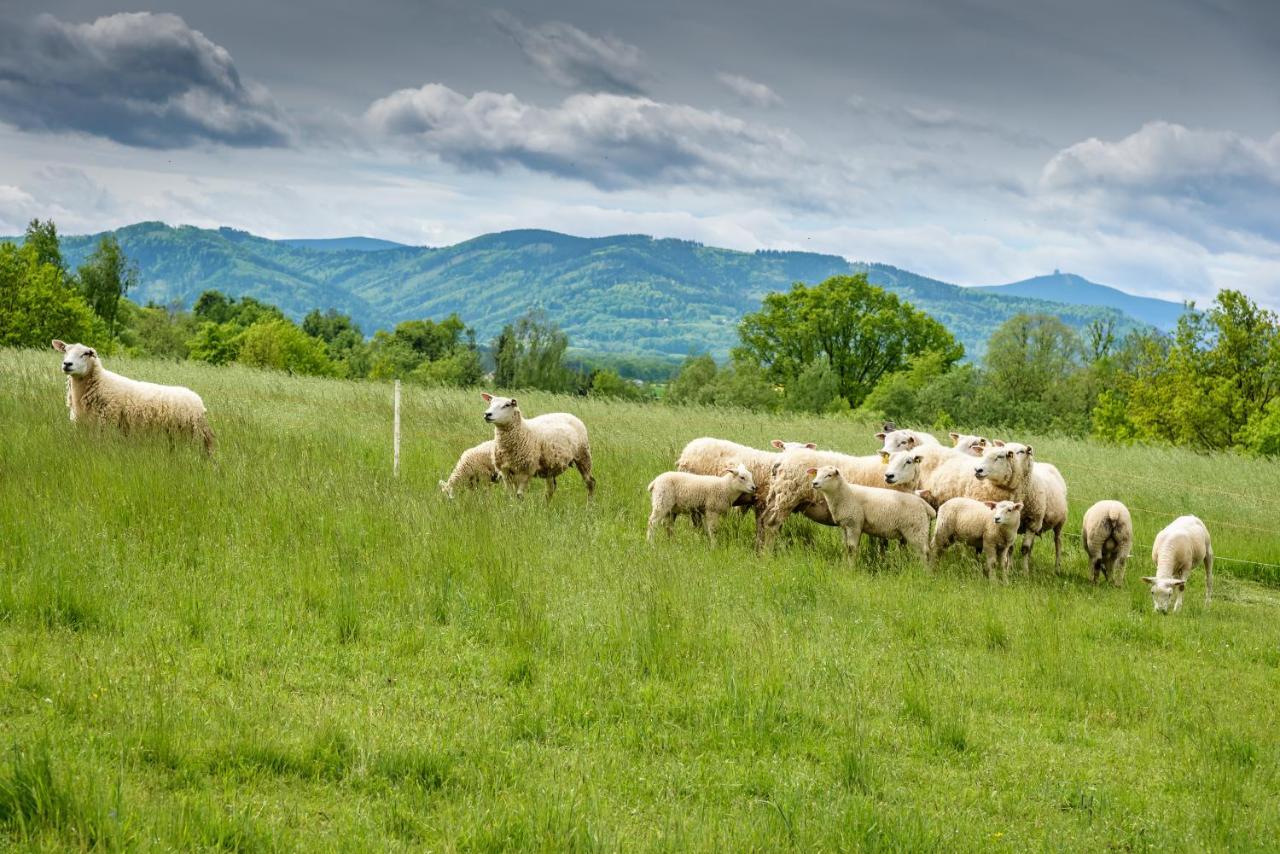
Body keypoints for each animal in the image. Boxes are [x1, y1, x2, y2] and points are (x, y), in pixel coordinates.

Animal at [51, 338, 213, 458]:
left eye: (86, 353)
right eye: (65, 351)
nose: (67, 364)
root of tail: (198, 401)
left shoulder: (107, 425)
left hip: (190, 436)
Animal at [808, 468, 942, 560]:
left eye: (829, 475)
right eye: (817, 473)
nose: (814, 483)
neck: (845, 494)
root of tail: (924, 504)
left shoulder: (854, 524)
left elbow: (852, 549)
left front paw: (850, 569)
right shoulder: (845, 526)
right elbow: (846, 548)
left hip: (916, 530)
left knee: (924, 552)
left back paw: (925, 572)